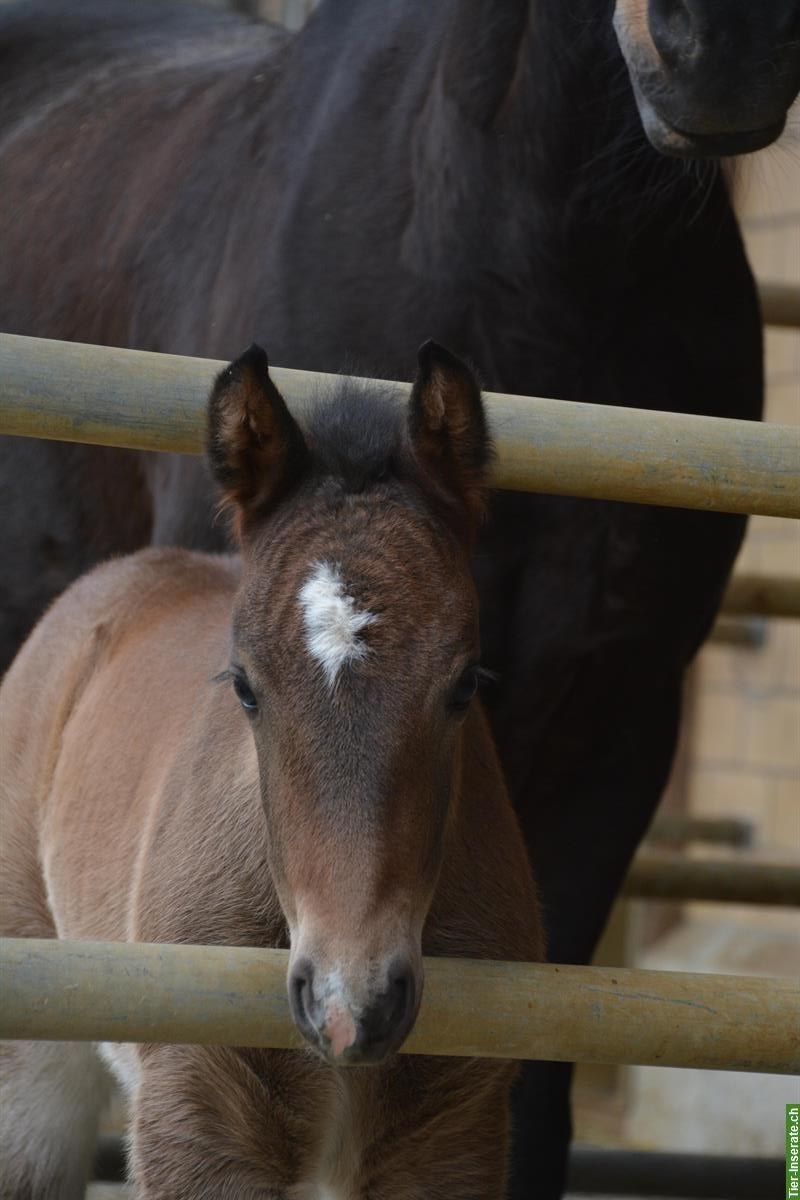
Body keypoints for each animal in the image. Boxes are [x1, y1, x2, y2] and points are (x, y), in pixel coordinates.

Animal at [0, 340, 544, 1200]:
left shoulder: (452, 1139)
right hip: (35, 1062)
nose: (350, 1003)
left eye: (466, 683)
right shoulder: (198, 1126)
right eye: (245, 686)